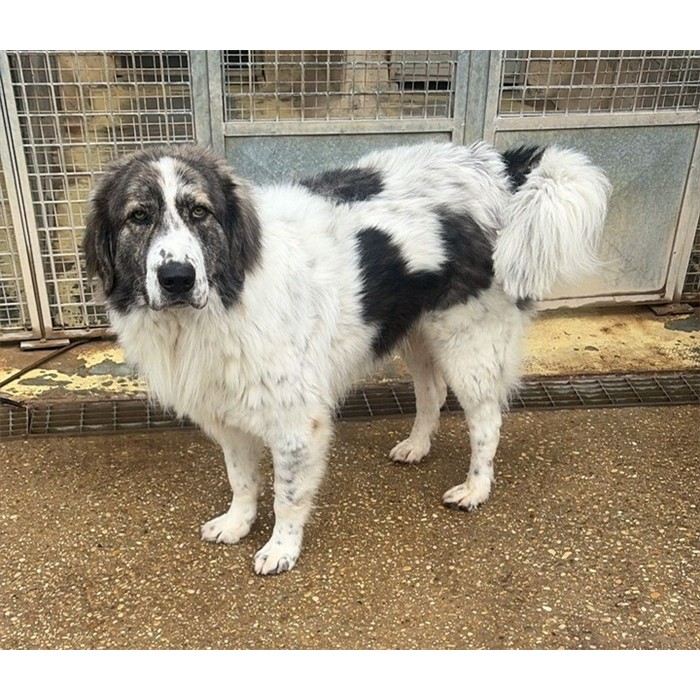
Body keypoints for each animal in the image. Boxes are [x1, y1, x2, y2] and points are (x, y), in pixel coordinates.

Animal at [84, 140, 610, 574]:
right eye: (138, 217)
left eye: (199, 212)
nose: (177, 278)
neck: (227, 295)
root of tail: (501, 166)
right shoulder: (228, 414)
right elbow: (242, 480)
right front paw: (237, 523)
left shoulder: (298, 422)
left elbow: (287, 495)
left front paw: (281, 548)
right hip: (414, 332)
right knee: (431, 393)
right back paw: (416, 446)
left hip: (468, 343)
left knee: (486, 422)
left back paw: (476, 489)